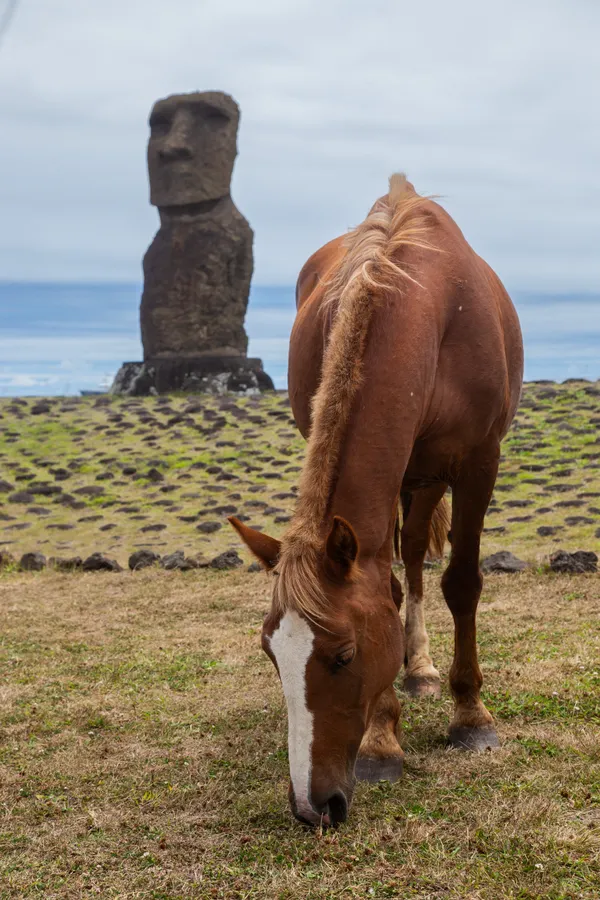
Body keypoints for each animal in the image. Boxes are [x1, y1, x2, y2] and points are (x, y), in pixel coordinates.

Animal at [230, 174, 523, 827]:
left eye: (343, 656)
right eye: (270, 653)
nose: (313, 807)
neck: (428, 305)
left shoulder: (478, 462)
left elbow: (462, 582)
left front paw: (471, 716)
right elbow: (383, 587)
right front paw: (383, 740)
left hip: (430, 476)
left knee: (416, 554)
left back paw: (425, 669)